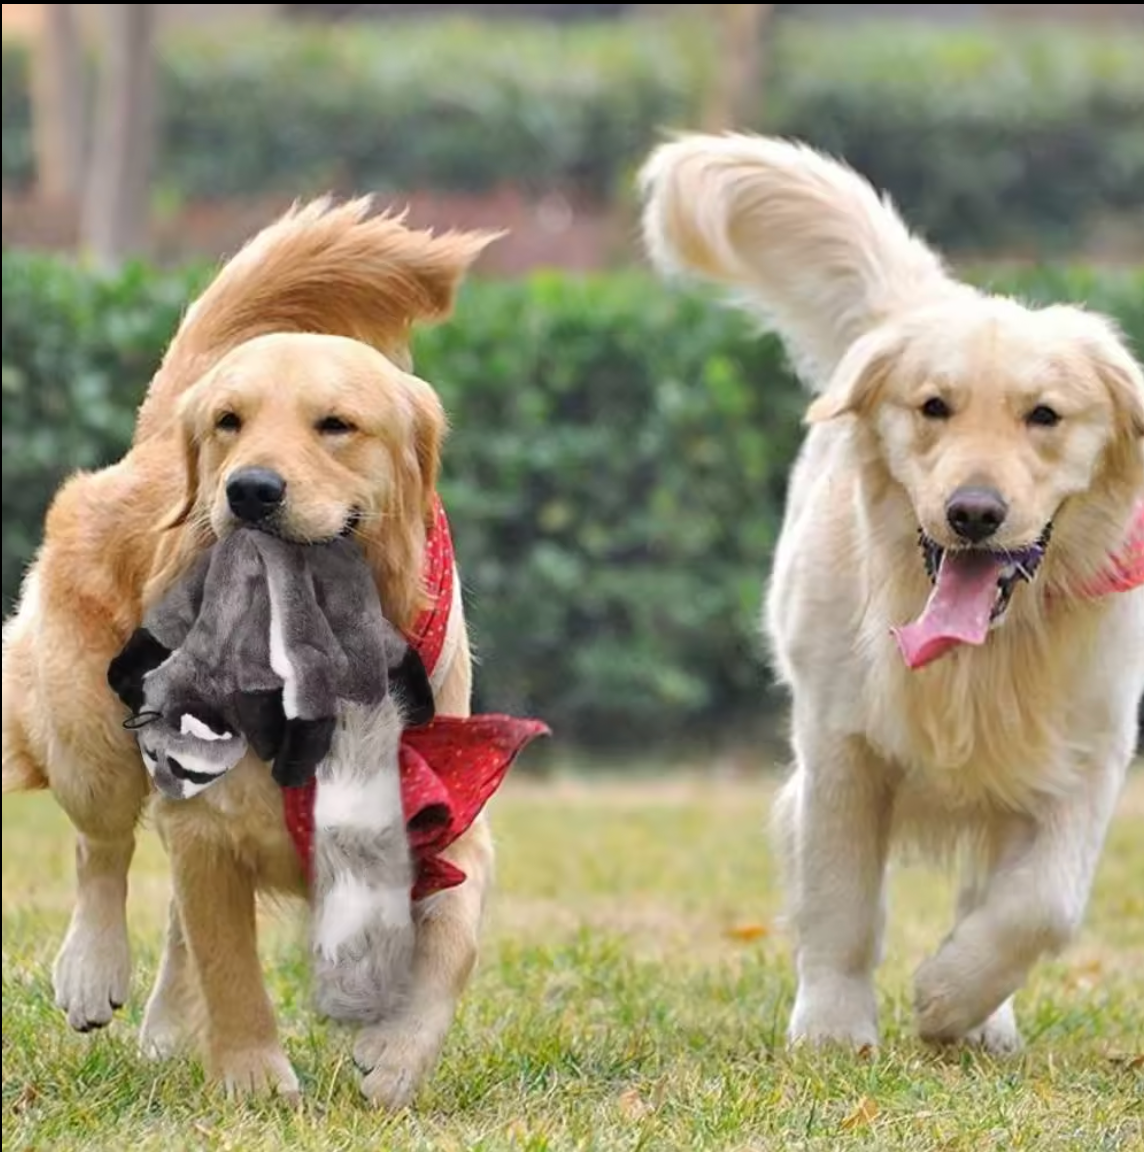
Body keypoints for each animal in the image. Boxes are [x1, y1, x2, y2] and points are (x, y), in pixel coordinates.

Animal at [640, 134, 1142, 1055]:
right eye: (933, 406)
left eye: (1045, 415)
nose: (973, 513)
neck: (984, 655)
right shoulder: (840, 743)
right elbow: (841, 901)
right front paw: (834, 1030)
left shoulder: (1090, 751)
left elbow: (1043, 903)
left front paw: (951, 995)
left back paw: (985, 1021)